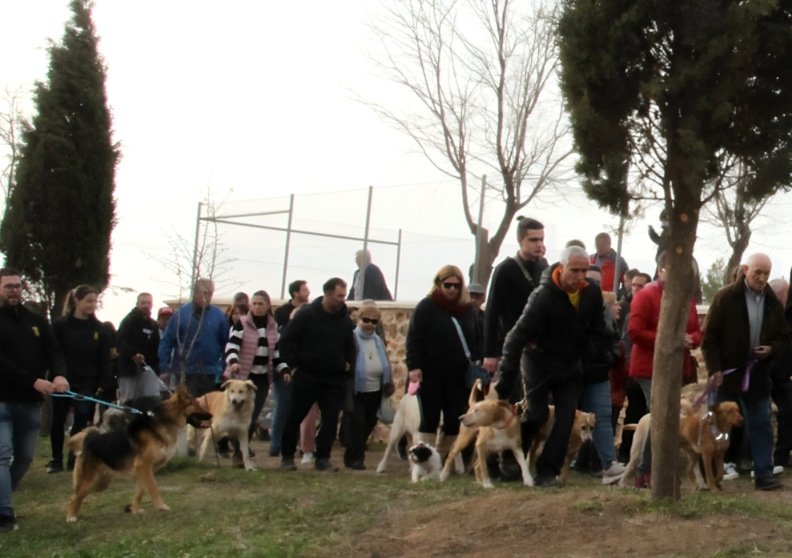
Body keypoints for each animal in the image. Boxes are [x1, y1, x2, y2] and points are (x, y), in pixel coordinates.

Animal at [66, 388, 212, 524]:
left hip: (100, 483)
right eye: (196, 404)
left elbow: (140, 491)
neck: (164, 422)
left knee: (77, 497)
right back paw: (70, 518)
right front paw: (161, 506)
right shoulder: (143, 466)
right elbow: (153, 488)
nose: (211, 415)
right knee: (74, 498)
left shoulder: (145, 469)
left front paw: (135, 510)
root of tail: (89, 439)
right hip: (89, 482)